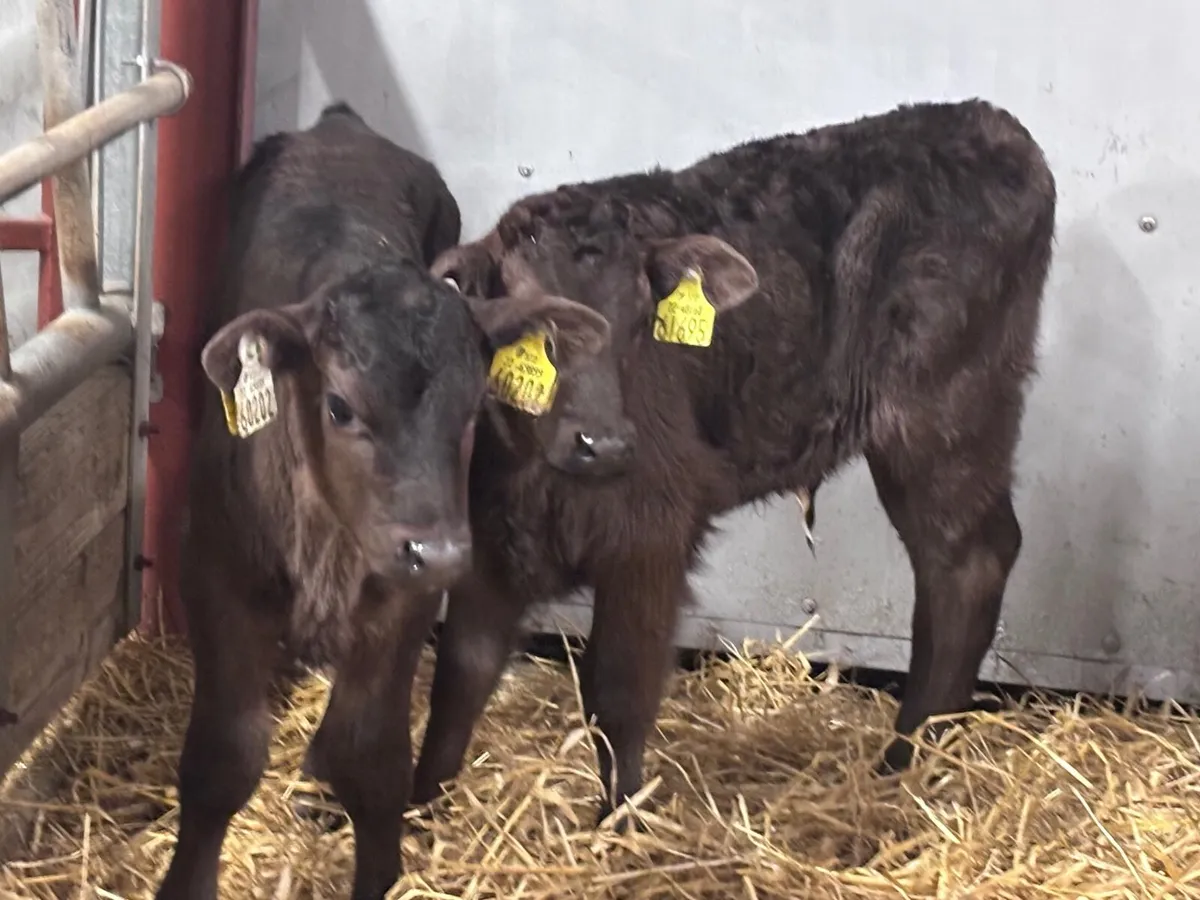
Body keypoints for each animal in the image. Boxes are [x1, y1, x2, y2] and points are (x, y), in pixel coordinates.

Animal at [153, 103, 610, 900]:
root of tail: (342, 124)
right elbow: (221, 759)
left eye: (473, 408)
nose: (441, 549)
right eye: (340, 406)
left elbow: (373, 757)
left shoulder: (405, 594)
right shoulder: (213, 575)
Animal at [412, 98, 1056, 827]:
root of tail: (988, 122)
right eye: (533, 328)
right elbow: (458, 680)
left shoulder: (653, 536)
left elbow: (618, 693)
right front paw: (415, 811)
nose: (605, 443)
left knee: (965, 563)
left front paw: (619, 826)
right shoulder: (488, 544)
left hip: (943, 420)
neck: (539, 474)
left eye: (640, 323)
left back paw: (908, 758)